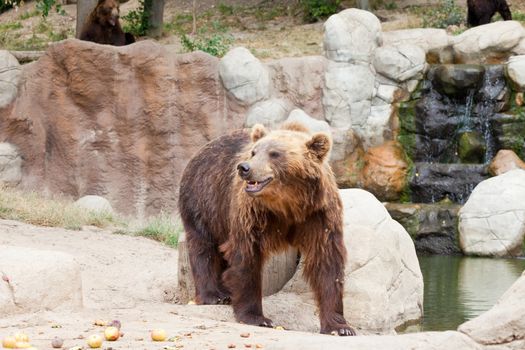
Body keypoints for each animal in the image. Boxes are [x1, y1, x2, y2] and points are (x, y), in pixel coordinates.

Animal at [178, 121, 354, 334]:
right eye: (254, 152)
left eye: (274, 153)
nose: (244, 168)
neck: (289, 203)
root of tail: (199, 151)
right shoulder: (252, 213)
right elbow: (246, 257)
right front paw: (256, 317)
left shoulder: (319, 215)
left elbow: (327, 263)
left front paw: (339, 327)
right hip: (204, 199)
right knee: (204, 246)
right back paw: (214, 295)